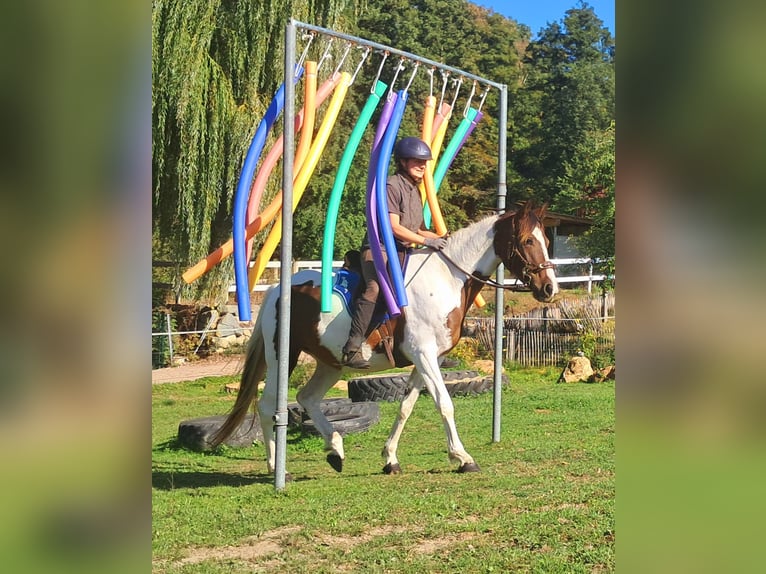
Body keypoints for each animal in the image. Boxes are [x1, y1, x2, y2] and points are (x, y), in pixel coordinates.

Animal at [211, 201, 558, 476]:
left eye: (546, 240)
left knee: (307, 398)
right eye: (527, 240)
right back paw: (277, 467)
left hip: (330, 362)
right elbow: (444, 403)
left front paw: (390, 458)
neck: (447, 278)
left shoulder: (426, 358)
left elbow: (406, 406)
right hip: (283, 356)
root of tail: (276, 290)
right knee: (268, 404)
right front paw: (463, 458)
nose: (549, 288)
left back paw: (335, 450)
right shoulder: (424, 354)